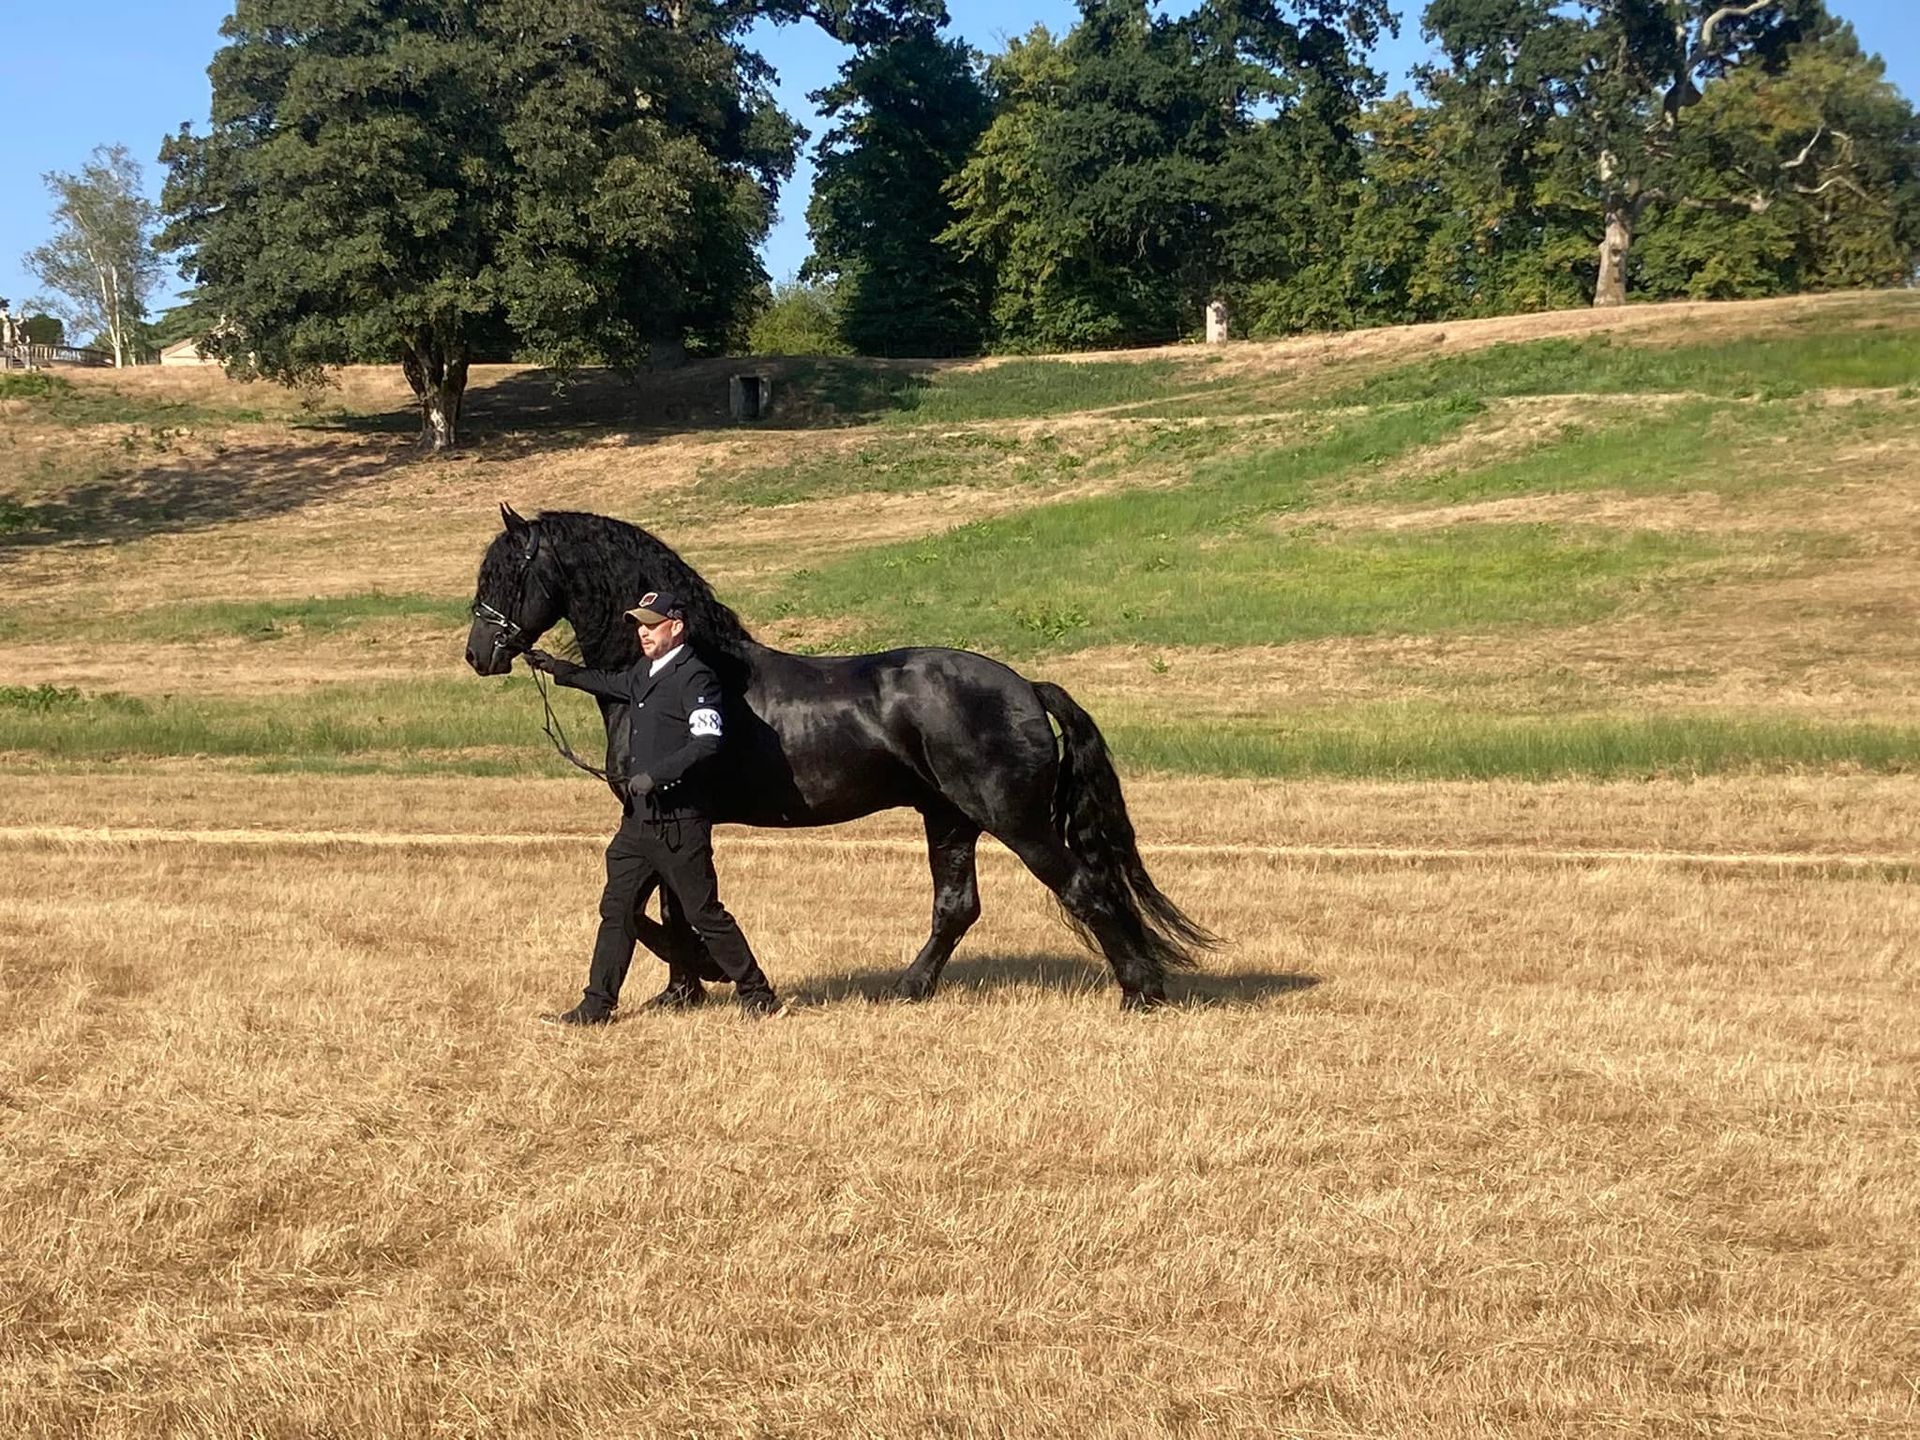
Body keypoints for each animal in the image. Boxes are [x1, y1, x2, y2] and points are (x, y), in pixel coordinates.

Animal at [464, 505, 1213, 1008]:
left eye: (508, 573)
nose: (479, 654)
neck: (657, 677)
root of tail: (1026, 686)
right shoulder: (666, 823)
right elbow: (669, 904)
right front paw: (684, 987)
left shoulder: (666, 815)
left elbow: (667, 907)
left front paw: (697, 976)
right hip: (949, 819)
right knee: (957, 906)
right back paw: (911, 987)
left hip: (1014, 821)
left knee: (1084, 888)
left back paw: (1140, 991)